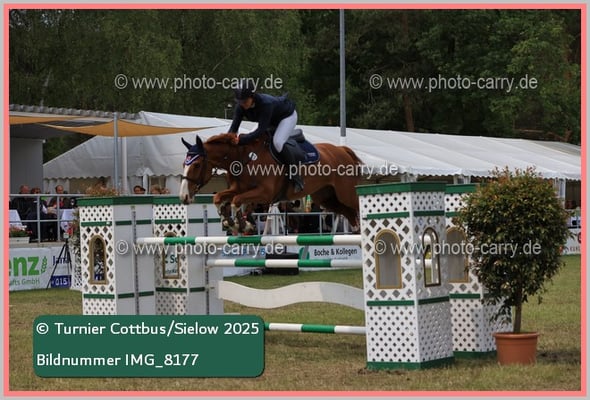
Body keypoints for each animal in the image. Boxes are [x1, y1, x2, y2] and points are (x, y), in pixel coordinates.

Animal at [179, 132, 363, 233]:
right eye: (183, 164)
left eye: (196, 164)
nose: (183, 197)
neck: (243, 158)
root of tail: (342, 150)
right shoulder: (239, 189)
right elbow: (219, 198)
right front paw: (233, 223)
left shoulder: (265, 194)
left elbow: (236, 201)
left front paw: (242, 225)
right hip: (325, 197)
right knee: (349, 214)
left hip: (346, 193)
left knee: (356, 208)